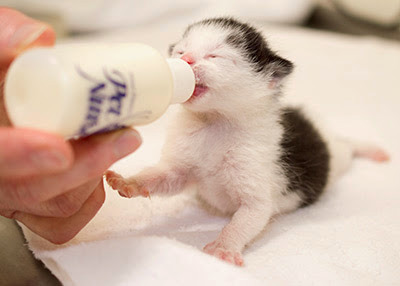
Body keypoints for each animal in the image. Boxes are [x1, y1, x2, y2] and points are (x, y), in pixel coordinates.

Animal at [104, 17, 390, 268]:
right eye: (181, 50)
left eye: (214, 56)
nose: (185, 60)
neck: (215, 122)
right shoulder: (181, 164)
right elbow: (163, 176)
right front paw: (129, 182)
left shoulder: (256, 180)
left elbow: (245, 220)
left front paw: (224, 246)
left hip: (337, 158)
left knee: (347, 146)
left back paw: (369, 149)